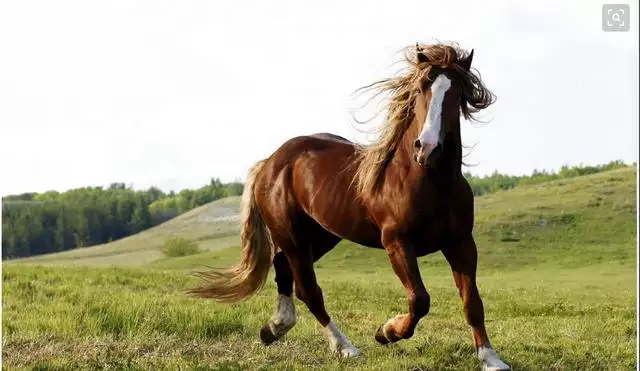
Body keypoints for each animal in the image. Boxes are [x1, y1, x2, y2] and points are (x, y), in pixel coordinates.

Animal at [189, 42, 510, 370]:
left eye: (457, 93)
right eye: (421, 88)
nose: (428, 148)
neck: (430, 181)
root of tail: (271, 162)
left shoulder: (461, 243)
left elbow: (472, 302)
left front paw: (490, 358)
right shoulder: (397, 243)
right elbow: (420, 300)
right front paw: (386, 332)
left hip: (321, 237)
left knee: (283, 269)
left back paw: (274, 328)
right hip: (293, 238)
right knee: (309, 291)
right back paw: (345, 347)